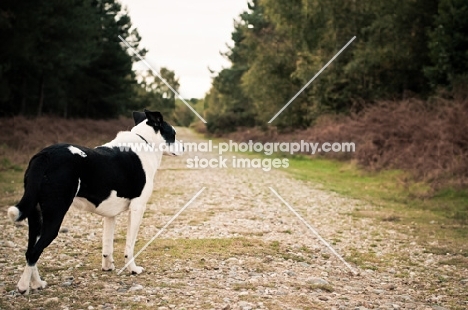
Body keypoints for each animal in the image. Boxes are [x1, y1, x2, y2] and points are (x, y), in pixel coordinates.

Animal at [7, 110, 183, 294]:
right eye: (173, 134)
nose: (184, 147)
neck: (146, 142)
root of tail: (44, 156)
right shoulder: (138, 208)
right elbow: (130, 245)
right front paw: (133, 269)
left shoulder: (110, 215)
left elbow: (107, 245)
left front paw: (108, 267)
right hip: (54, 216)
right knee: (34, 252)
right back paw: (23, 287)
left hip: (36, 217)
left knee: (30, 250)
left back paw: (37, 283)